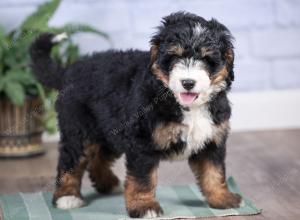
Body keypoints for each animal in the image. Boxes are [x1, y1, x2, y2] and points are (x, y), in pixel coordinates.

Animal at [29, 11, 241, 217]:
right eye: (174, 57)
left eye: (207, 59)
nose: (188, 82)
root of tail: (69, 71)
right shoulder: (142, 142)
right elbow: (143, 178)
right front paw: (144, 206)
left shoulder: (212, 140)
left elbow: (214, 172)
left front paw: (222, 198)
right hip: (79, 129)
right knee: (70, 161)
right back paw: (67, 197)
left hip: (111, 130)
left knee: (98, 159)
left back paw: (108, 184)